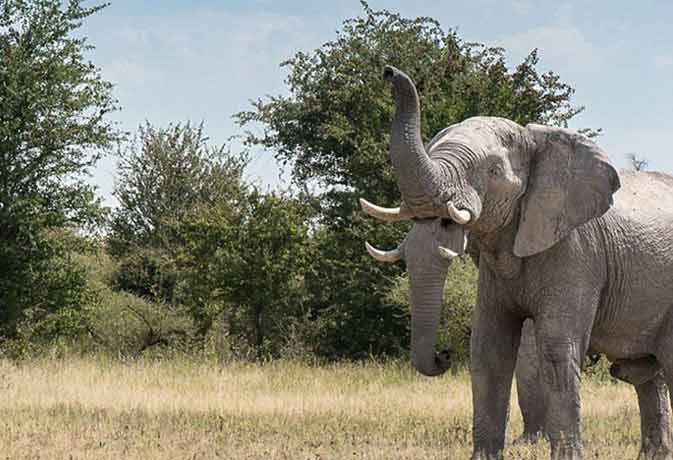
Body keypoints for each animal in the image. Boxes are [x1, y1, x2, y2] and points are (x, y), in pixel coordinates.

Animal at [362, 65, 672, 460]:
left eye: (493, 172)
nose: (388, 71)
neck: (535, 141)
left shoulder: (577, 252)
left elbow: (556, 351)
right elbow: (488, 350)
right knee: (647, 376)